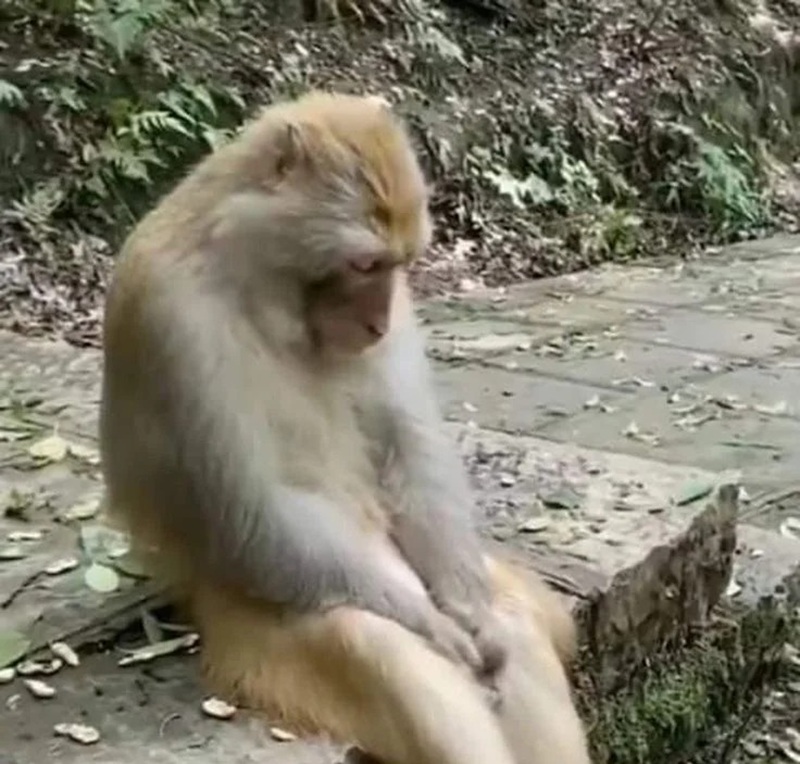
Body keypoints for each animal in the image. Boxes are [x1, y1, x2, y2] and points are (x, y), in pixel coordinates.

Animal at [99, 90, 591, 764]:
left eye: (399, 265)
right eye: (363, 263)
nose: (377, 324)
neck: (251, 277)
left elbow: (409, 445)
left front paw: (469, 616)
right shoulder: (171, 319)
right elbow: (252, 509)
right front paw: (439, 628)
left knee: (512, 625)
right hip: (261, 639)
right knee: (377, 644)